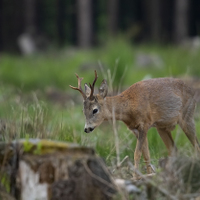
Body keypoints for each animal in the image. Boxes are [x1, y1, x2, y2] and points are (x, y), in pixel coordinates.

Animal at [70, 70, 200, 177]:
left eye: (95, 110)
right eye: (83, 110)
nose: (87, 128)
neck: (129, 106)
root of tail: (193, 91)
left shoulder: (144, 124)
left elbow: (137, 153)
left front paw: (135, 177)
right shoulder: (135, 129)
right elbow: (146, 154)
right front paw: (148, 175)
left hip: (187, 117)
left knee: (196, 146)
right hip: (162, 127)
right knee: (174, 150)